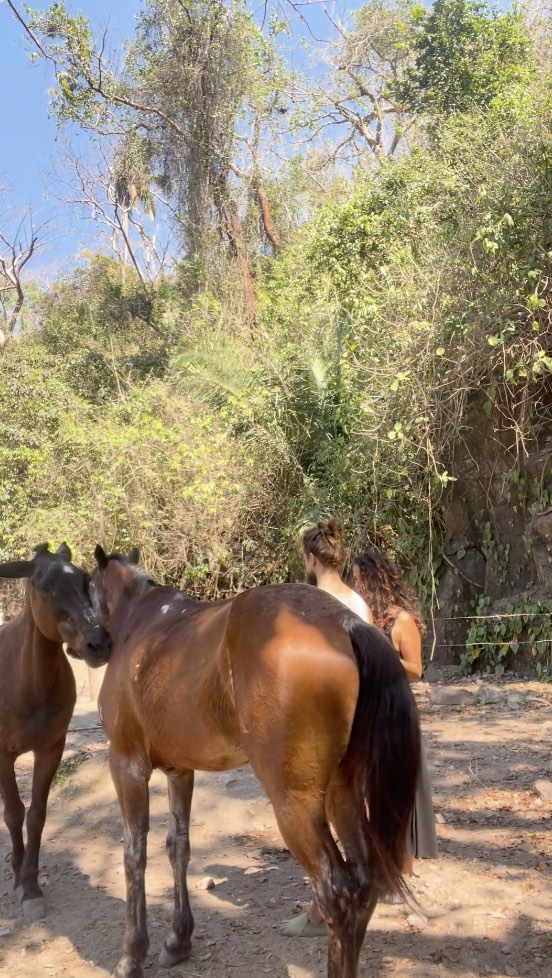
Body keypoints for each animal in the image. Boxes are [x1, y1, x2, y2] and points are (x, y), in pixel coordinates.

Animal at [0, 542, 112, 920]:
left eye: (85, 580)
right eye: (45, 587)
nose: (98, 644)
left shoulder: (51, 748)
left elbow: (36, 814)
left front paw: (30, 885)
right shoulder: (2, 754)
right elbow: (13, 812)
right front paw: (18, 875)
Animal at [90, 546, 421, 978]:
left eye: (88, 586)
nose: (91, 645)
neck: (140, 625)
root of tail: (344, 622)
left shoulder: (127, 765)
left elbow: (134, 854)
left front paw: (132, 954)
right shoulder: (180, 770)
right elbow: (178, 846)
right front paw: (178, 940)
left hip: (294, 804)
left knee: (337, 895)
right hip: (342, 792)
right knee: (364, 886)